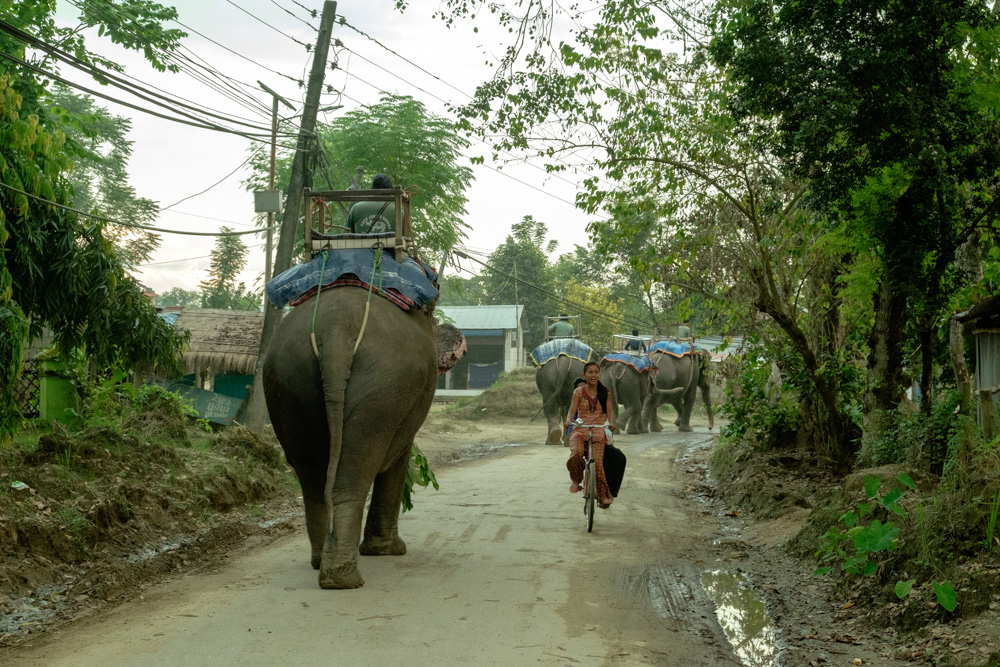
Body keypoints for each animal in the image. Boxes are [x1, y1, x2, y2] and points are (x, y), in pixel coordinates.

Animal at [266, 292, 468, 588]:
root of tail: (335, 328)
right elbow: (398, 459)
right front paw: (389, 551)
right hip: (383, 388)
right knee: (357, 470)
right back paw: (343, 578)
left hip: (288, 379)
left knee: (313, 478)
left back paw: (322, 563)